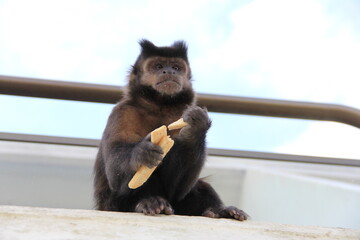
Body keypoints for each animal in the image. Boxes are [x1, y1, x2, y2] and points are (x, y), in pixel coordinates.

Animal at [93, 39, 248, 221]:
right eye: (159, 66)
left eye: (176, 67)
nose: (169, 71)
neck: (160, 106)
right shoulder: (123, 112)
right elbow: (115, 175)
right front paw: (141, 153)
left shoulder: (180, 112)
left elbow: (176, 189)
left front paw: (195, 131)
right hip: (110, 206)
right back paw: (149, 202)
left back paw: (220, 211)